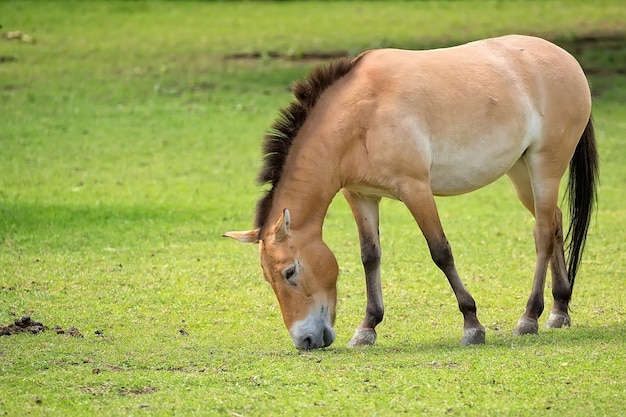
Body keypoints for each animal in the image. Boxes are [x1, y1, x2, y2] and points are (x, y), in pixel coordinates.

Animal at [222, 35, 596, 348]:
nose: (306, 341)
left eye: (290, 272)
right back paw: (559, 310)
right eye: (268, 278)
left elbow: (441, 252)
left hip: (545, 167)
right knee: (555, 222)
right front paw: (367, 328)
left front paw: (472, 324)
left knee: (542, 233)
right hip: (521, 173)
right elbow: (370, 256)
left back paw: (529, 317)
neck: (361, 114)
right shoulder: (361, 196)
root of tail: (566, 59)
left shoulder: (415, 189)